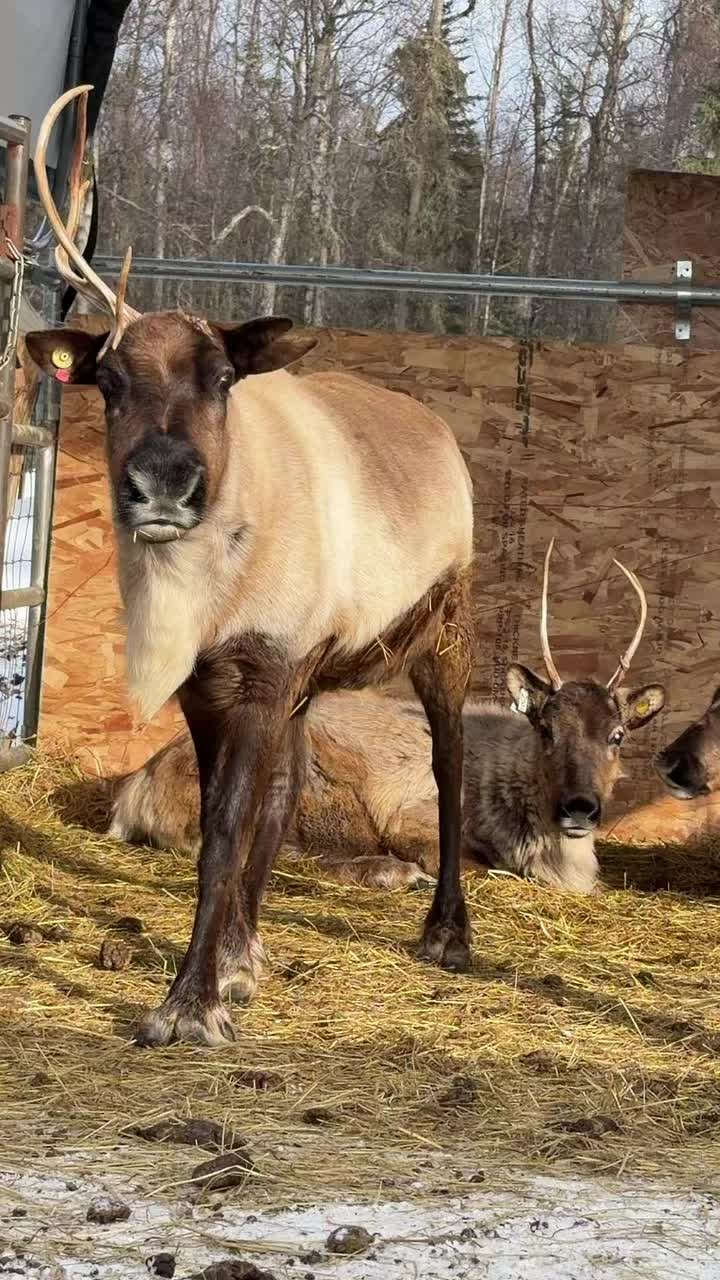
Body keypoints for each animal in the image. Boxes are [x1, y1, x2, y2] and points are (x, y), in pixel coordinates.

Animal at [26, 85, 475, 1048]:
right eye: (107, 380)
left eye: (224, 376)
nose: (163, 480)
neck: (204, 593)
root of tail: (438, 432)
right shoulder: (218, 683)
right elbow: (236, 824)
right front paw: (227, 973)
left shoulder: (268, 669)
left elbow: (229, 827)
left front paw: (187, 1006)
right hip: (313, 684)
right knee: (287, 795)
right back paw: (248, 952)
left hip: (445, 628)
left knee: (453, 763)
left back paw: (448, 934)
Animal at [110, 542, 666, 896]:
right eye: (546, 730)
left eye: (617, 735)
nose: (580, 808)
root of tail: (134, 791)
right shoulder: (413, 817)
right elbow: (477, 869)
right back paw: (391, 874)